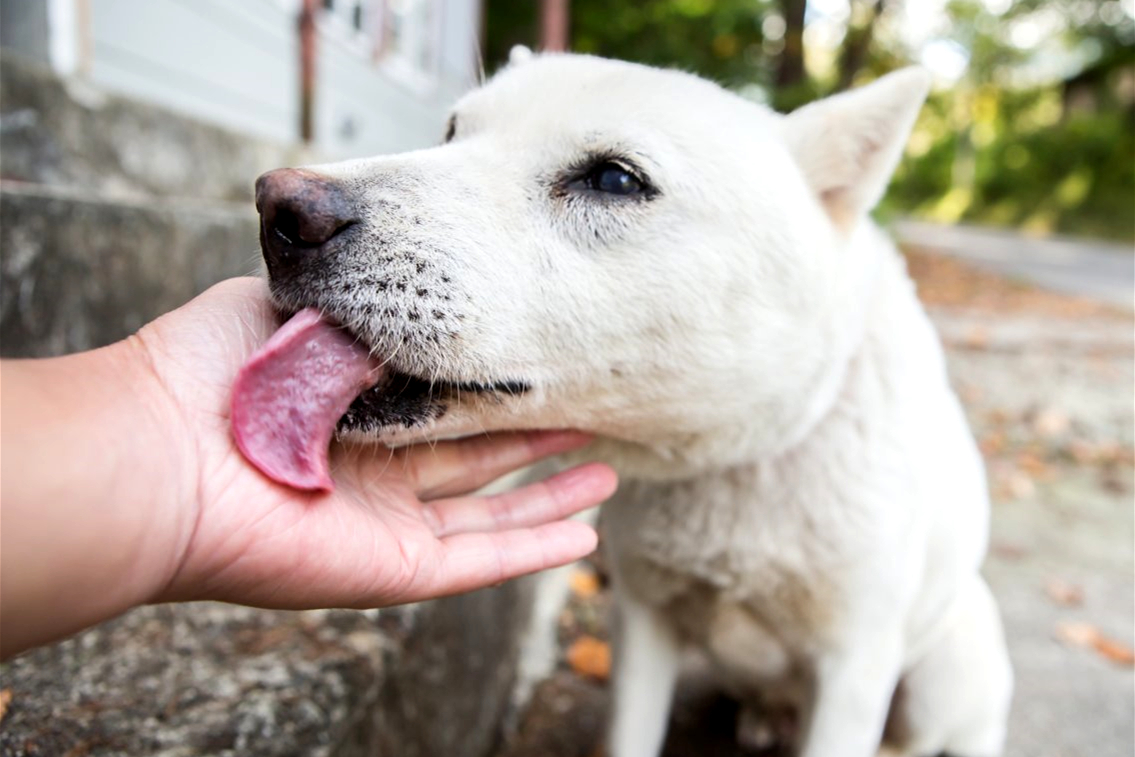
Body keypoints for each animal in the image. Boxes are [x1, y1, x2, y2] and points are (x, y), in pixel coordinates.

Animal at [246, 50, 1012, 757]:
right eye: (451, 131)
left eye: (615, 179)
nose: (279, 209)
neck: (734, 462)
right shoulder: (642, 624)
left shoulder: (852, 669)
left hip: (946, 666)